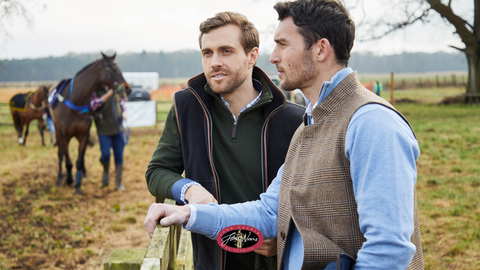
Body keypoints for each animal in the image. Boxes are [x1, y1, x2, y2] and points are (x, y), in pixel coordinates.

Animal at [51, 53, 131, 194]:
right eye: (112, 70)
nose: (128, 89)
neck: (75, 102)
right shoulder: (63, 135)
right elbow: (68, 160)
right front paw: (69, 180)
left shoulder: (83, 134)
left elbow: (79, 161)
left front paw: (78, 186)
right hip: (58, 133)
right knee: (61, 154)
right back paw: (60, 178)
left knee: (81, 158)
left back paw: (83, 174)